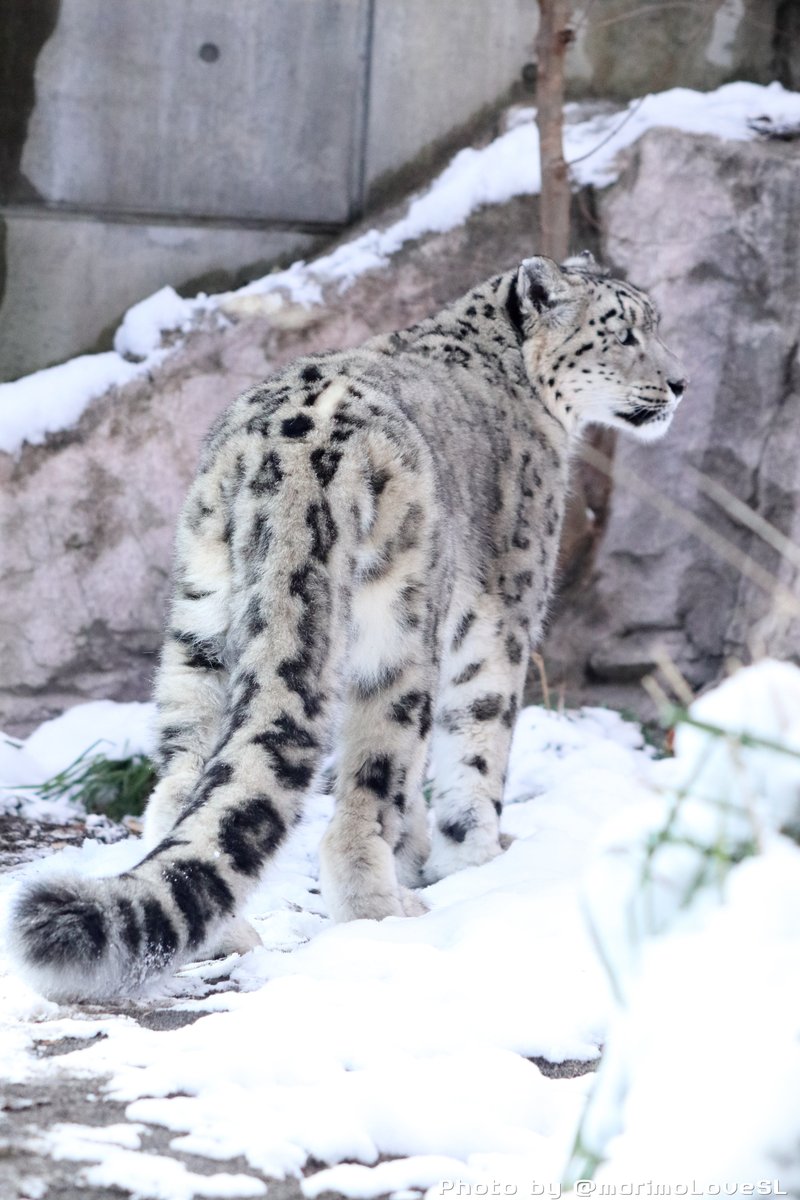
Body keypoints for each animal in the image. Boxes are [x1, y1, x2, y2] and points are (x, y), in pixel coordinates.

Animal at [9, 255, 690, 1003]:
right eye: (624, 333)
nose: (679, 383)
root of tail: (290, 452)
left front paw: (422, 856)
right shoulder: (503, 611)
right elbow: (478, 743)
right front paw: (474, 859)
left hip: (200, 621)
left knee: (182, 783)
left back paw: (226, 933)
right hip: (397, 632)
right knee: (369, 784)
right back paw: (383, 912)